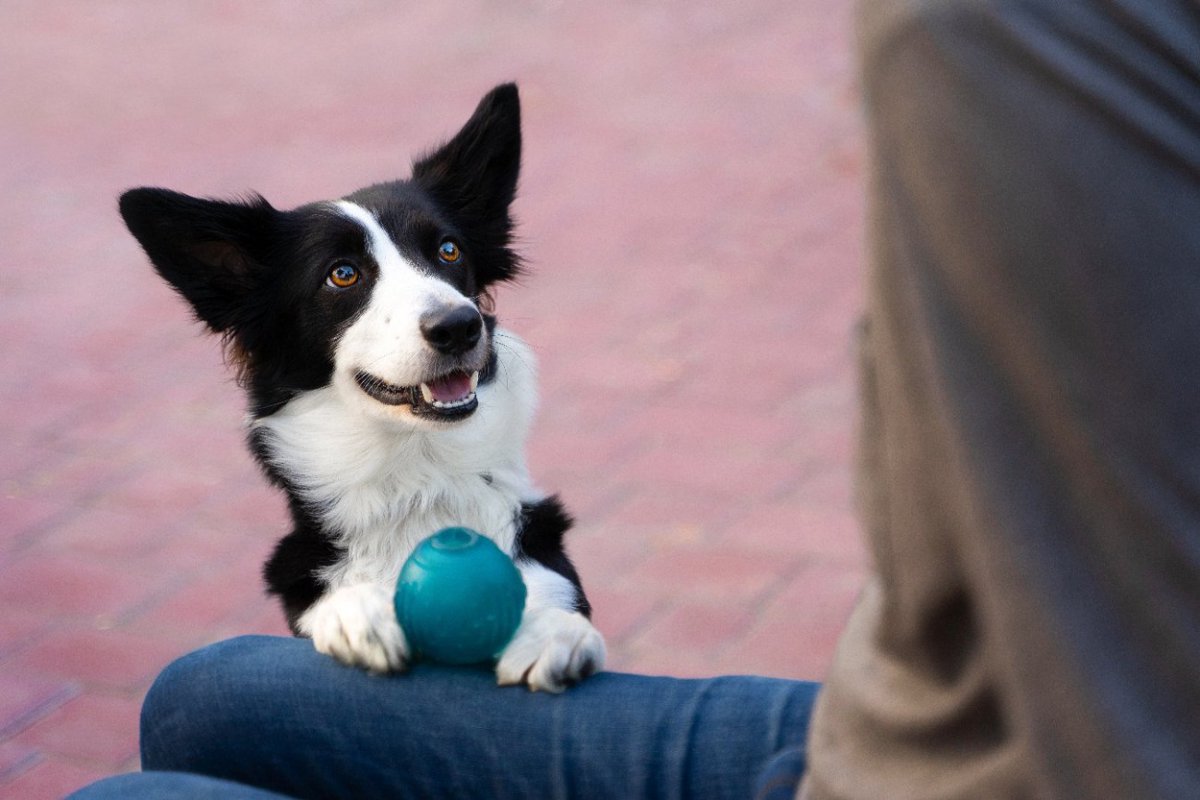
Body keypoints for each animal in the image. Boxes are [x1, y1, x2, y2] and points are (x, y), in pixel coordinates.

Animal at [118, 82, 604, 695]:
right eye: (342, 274)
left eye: (448, 250)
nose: (459, 326)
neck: (417, 483)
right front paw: (359, 612)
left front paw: (552, 632)